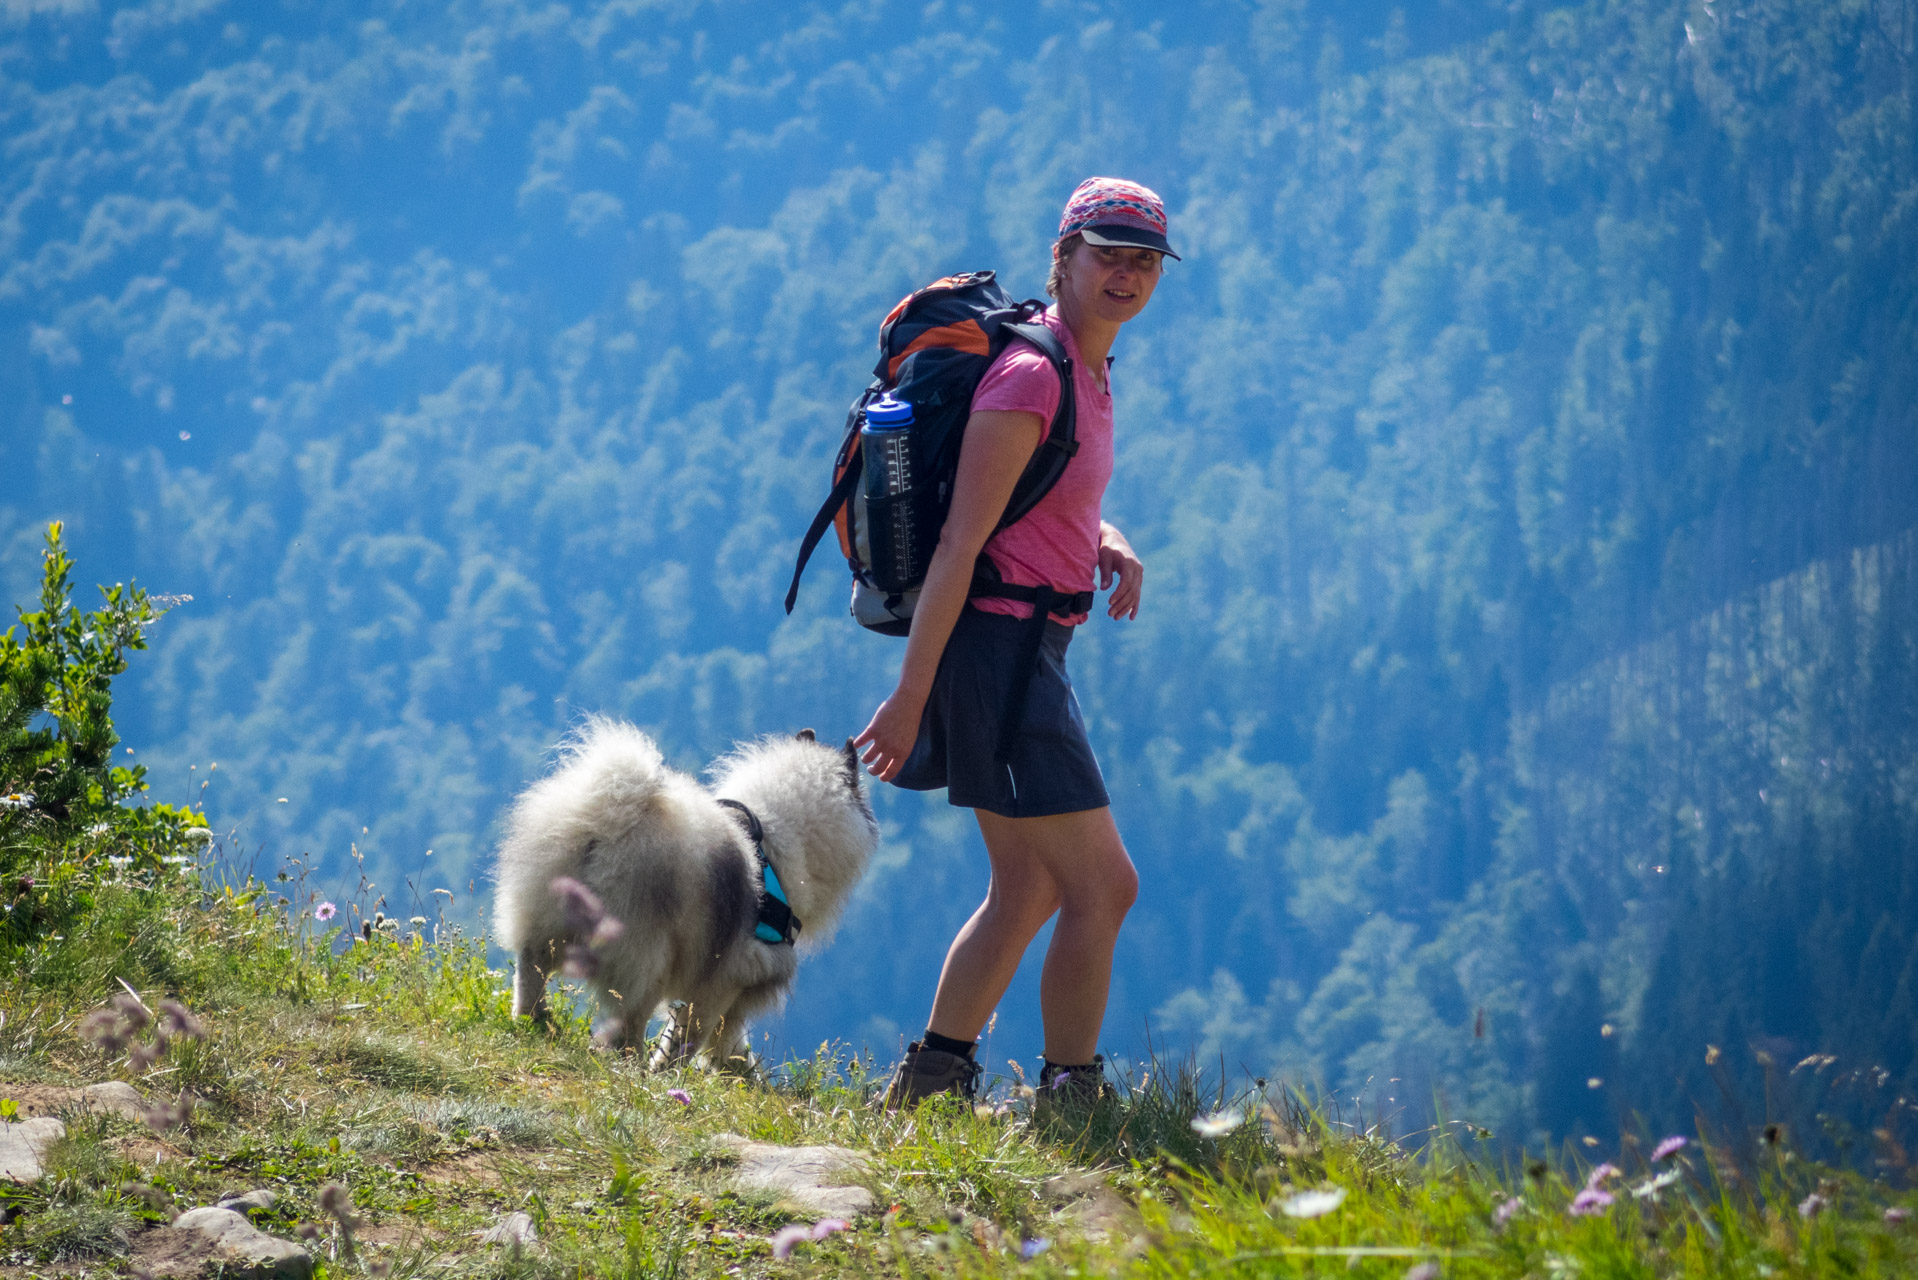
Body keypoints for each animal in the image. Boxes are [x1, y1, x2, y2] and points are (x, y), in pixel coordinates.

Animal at [494, 717, 882, 1066]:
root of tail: (609, 823)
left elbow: (730, 1046)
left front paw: (742, 1078)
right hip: (647, 958)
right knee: (628, 1020)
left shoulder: (730, 994)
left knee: (531, 969)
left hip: (549, 927)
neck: (777, 844)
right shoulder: (723, 980)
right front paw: (668, 1074)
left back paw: (534, 1021)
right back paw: (631, 1064)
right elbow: (688, 1038)